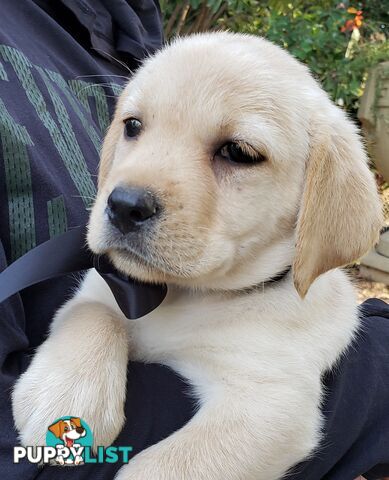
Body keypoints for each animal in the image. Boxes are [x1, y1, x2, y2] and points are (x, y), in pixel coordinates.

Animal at [12, 33, 382, 480]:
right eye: (132, 126)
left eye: (238, 152)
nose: (123, 206)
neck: (181, 296)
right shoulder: (101, 287)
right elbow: (93, 314)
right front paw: (64, 394)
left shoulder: (271, 401)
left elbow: (164, 468)